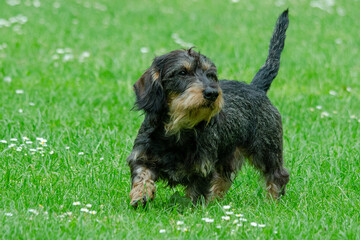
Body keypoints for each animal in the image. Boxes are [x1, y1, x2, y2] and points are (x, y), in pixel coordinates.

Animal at [126, 10, 290, 207]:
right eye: (182, 72)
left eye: (210, 75)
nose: (212, 93)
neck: (178, 129)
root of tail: (256, 87)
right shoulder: (141, 156)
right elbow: (142, 175)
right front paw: (140, 195)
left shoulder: (202, 170)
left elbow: (195, 194)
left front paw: (191, 210)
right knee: (223, 179)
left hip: (266, 149)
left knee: (277, 175)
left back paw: (273, 202)